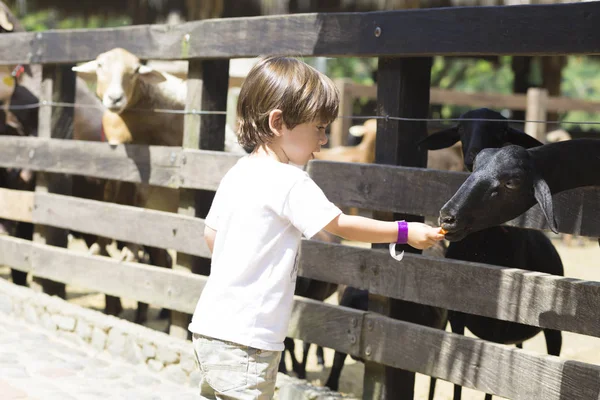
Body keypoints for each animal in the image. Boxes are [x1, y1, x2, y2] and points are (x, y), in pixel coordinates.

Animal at [420, 107, 564, 400]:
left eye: (502, 130)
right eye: (460, 129)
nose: (474, 154)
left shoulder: (500, 322)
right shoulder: (457, 317)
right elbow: (457, 380)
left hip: (550, 332)